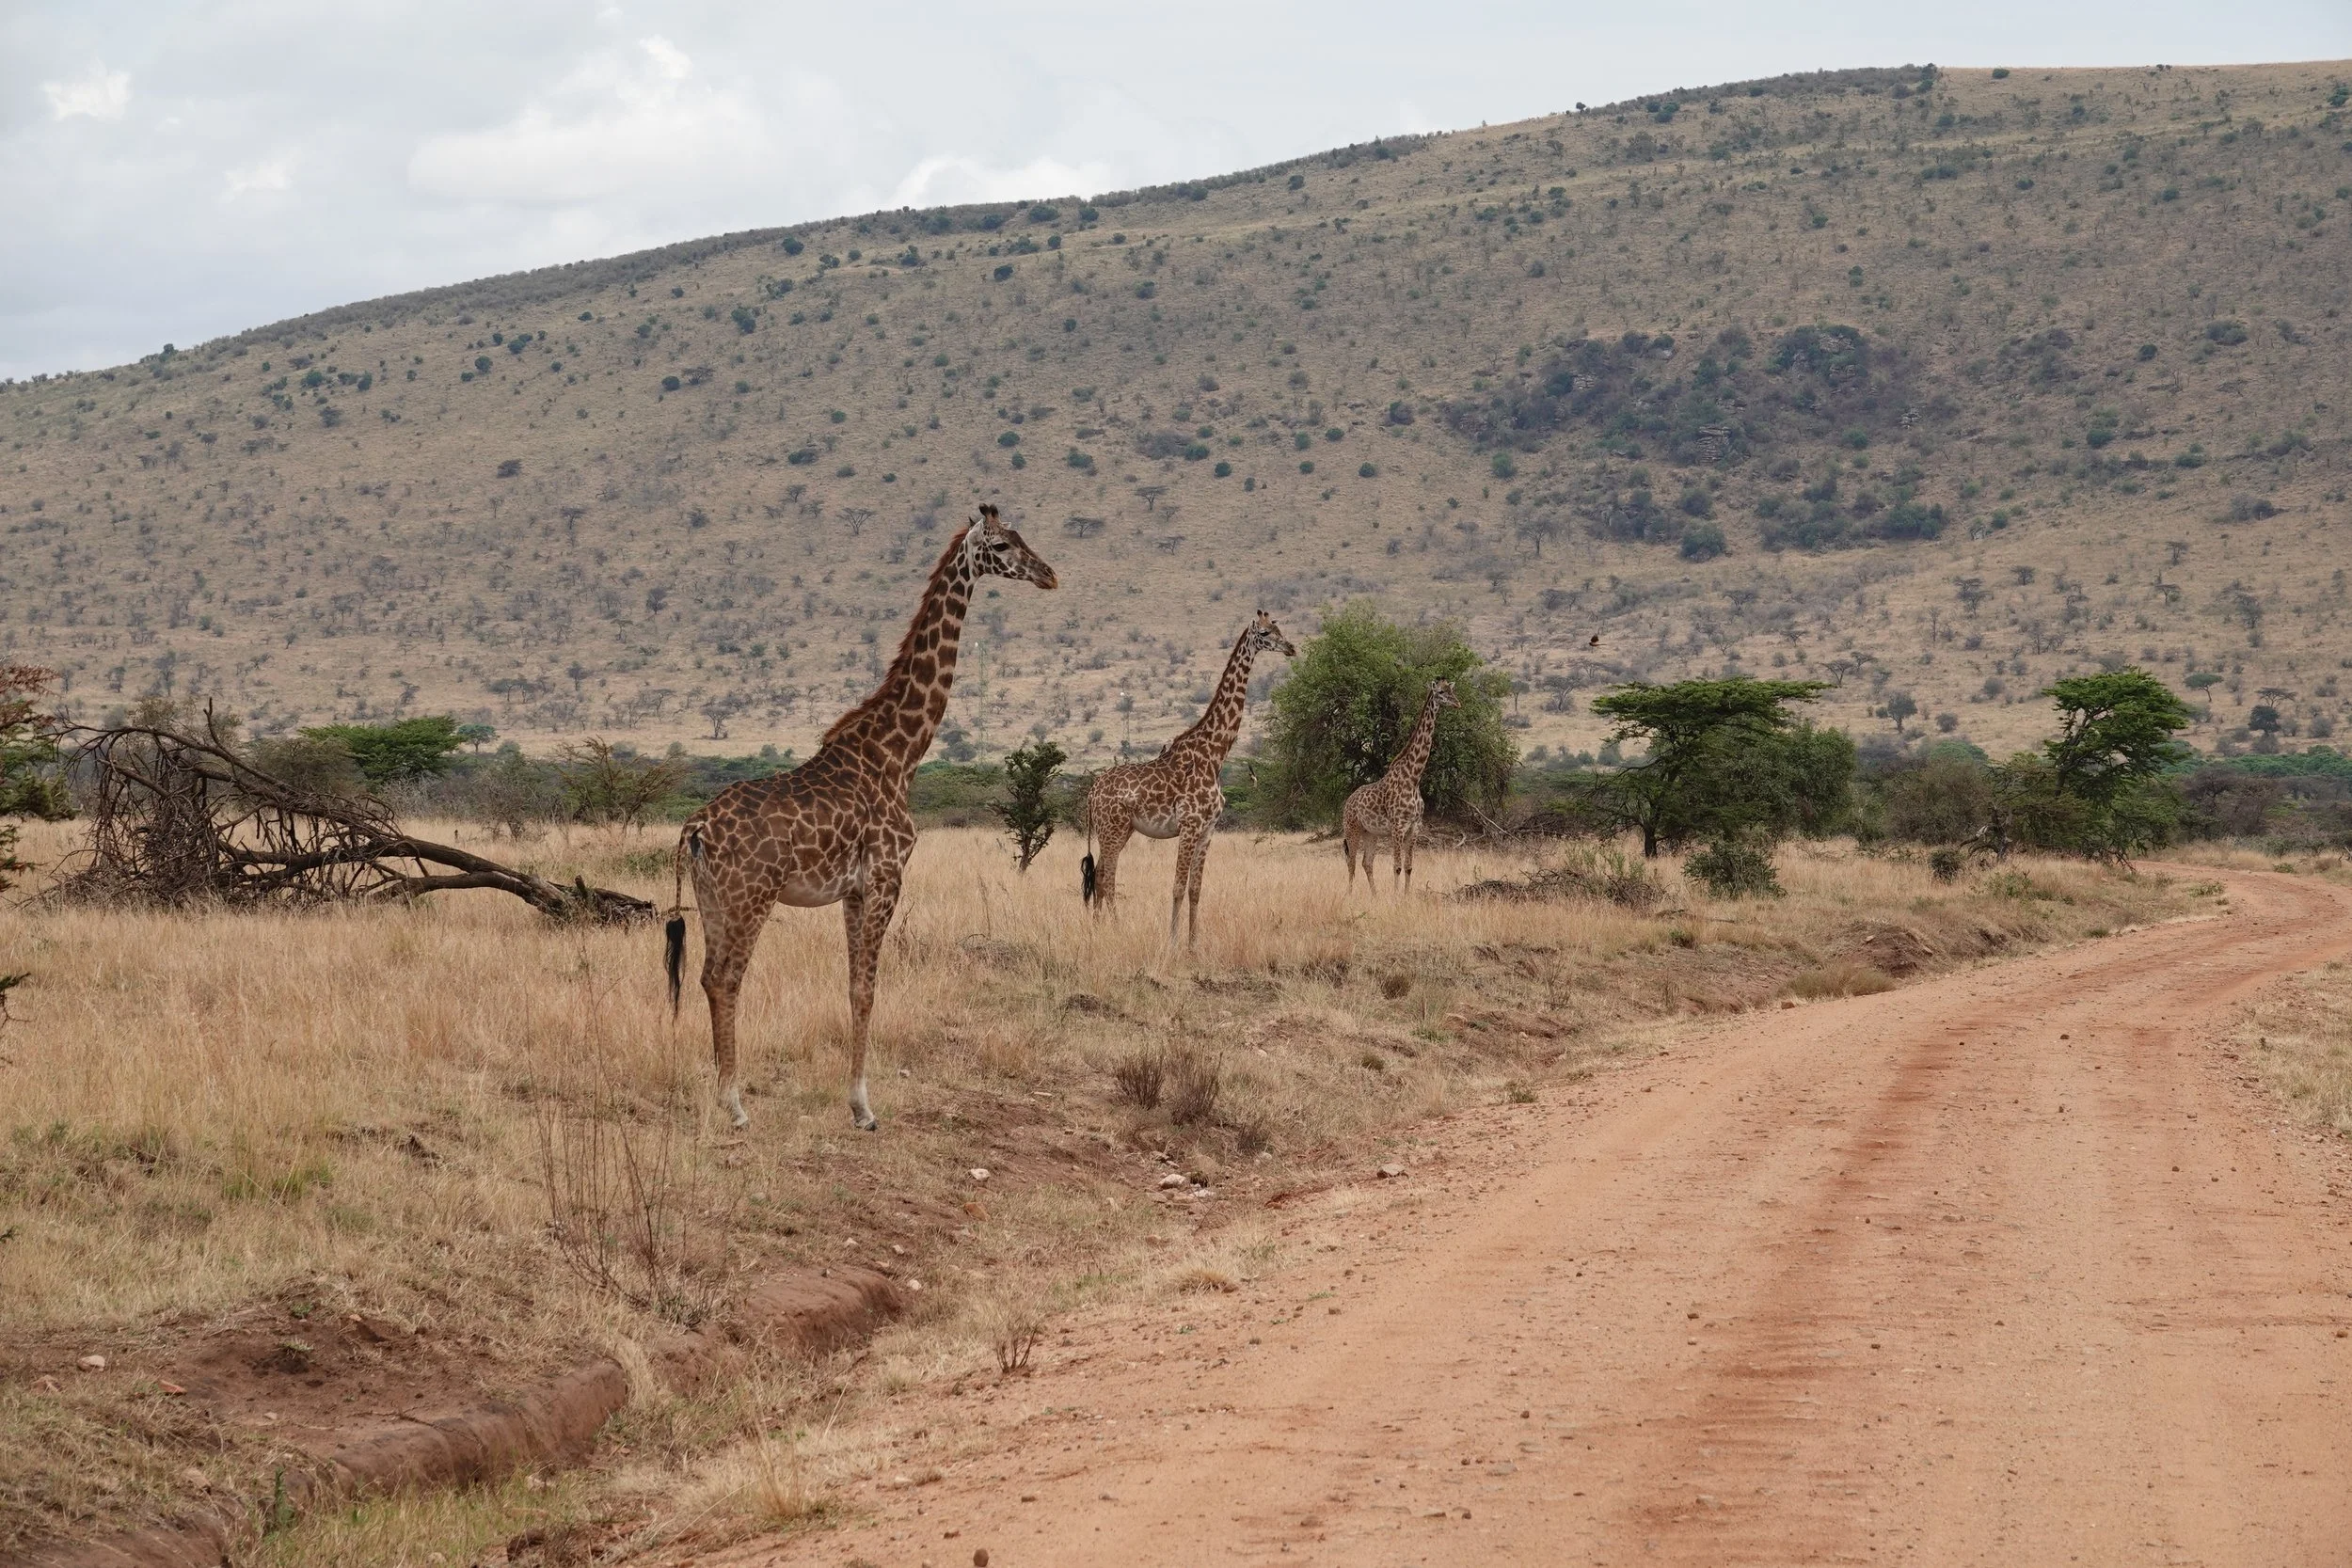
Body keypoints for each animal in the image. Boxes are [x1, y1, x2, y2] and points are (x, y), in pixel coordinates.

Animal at [664, 506, 1056, 1129]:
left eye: (1022, 538)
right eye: (1000, 546)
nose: (1048, 574)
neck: (899, 754)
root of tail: (695, 828)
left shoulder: (852, 889)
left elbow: (853, 986)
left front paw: (855, 1101)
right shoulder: (887, 876)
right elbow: (868, 989)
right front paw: (864, 1108)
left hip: (713, 898)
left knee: (706, 977)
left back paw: (726, 1095)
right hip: (752, 895)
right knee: (727, 979)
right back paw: (736, 1107)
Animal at [1078, 611, 1295, 948]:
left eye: (1278, 628)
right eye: (1264, 633)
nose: (1290, 648)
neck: (1216, 754)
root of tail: (1091, 793)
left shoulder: (1208, 829)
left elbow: (1195, 888)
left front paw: (1193, 945)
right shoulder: (1190, 825)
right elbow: (1177, 886)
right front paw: (1172, 943)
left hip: (1121, 830)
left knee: (1099, 875)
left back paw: (1099, 929)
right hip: (1111, 828)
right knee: (1106, 878)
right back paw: (1115, 930)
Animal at [1341, 678, 1459, 892]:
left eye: (1451, 690)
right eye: (1440, 692)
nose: (1457, 703)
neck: (1413, 777)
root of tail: (1347, 802)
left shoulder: (1415, 827)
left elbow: (1409, 866)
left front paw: (1405, 895)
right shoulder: (1398, 827)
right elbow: (1396, 866)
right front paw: (1396, 896)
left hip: (1370, 832)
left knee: (1366, 862)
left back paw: (1375, 895)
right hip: (1351, 828)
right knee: (1351, 861)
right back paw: (1350, 894)